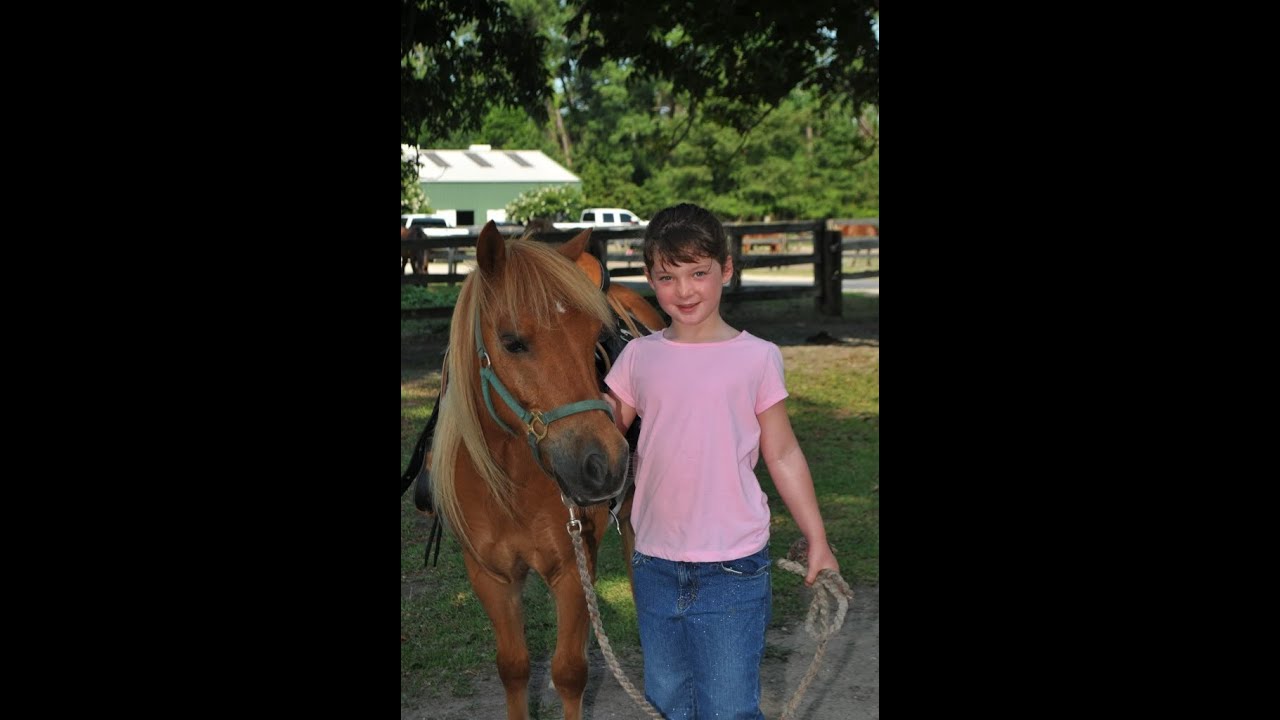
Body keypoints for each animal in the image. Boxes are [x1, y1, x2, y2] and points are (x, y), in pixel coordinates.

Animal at [420, 221, 639, 720]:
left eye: (593, 340)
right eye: (512, 341)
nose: (604, 463)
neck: (510, 484)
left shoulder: (574, 570)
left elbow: (569, 672)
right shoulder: (492, 577)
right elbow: (515, 667)